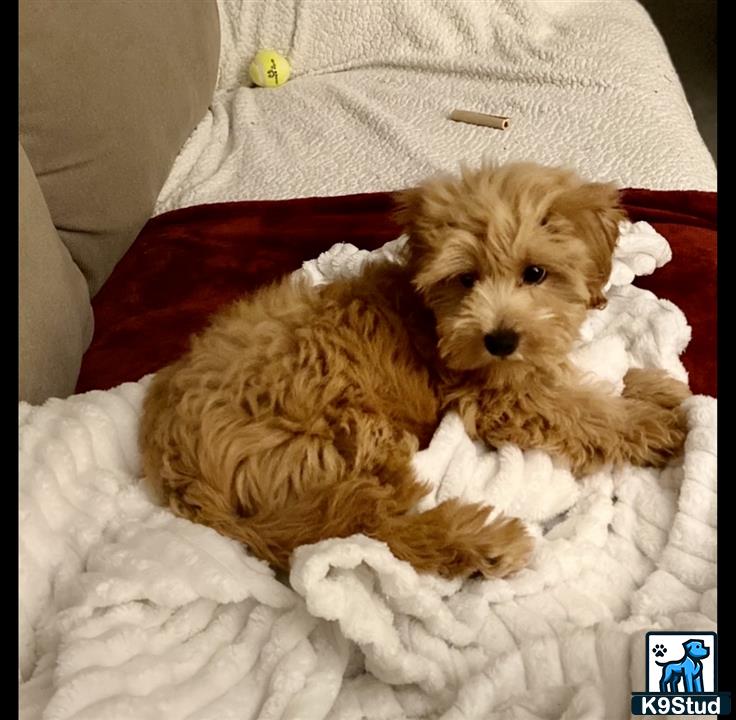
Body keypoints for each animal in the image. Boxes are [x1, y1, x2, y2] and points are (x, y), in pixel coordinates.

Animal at [139, 163, 688, 580]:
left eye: (535, 273)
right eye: (465, 279)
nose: (500, 340)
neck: (433, 317)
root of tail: (177, 469)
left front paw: (656, 389)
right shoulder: (499, 396)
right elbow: (579, 411)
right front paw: (652, 424)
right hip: (340, 434)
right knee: (367, 529)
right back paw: (480, 542)